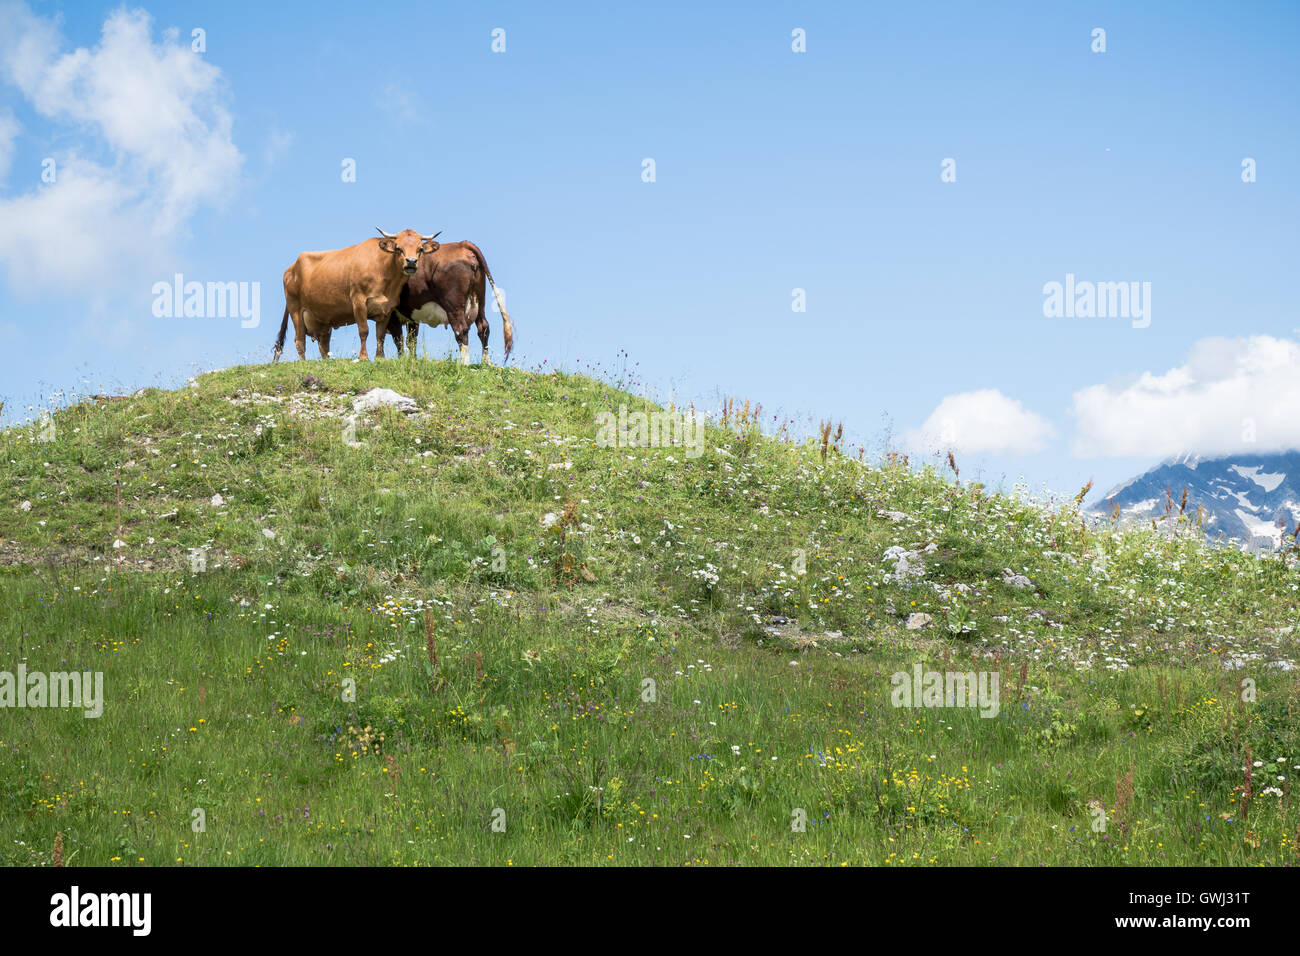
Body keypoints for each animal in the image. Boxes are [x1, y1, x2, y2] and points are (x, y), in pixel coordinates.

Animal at [271, 227, 439, 361]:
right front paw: (363, 357)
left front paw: (380, 357)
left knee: (323, 344)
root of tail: (291, 268)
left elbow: (380, 335)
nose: (411, 262)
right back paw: (304, 363)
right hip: (295, 310)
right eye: (398, 248)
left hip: (323, 320)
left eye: (420, 249)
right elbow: (364, 331)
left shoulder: (387, 308)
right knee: (299, 341)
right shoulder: (358, 301)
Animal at [379, 243, 512, 366]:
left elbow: (398, 340)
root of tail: (460, 244)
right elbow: (411, 340)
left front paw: (401, 361)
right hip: (480, 300)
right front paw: (412, 361)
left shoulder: (392, 316)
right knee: (483, 327)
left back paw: (464, 364)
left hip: (453, 306)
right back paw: (486, 363)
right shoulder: (411, 317)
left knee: (461, 330)